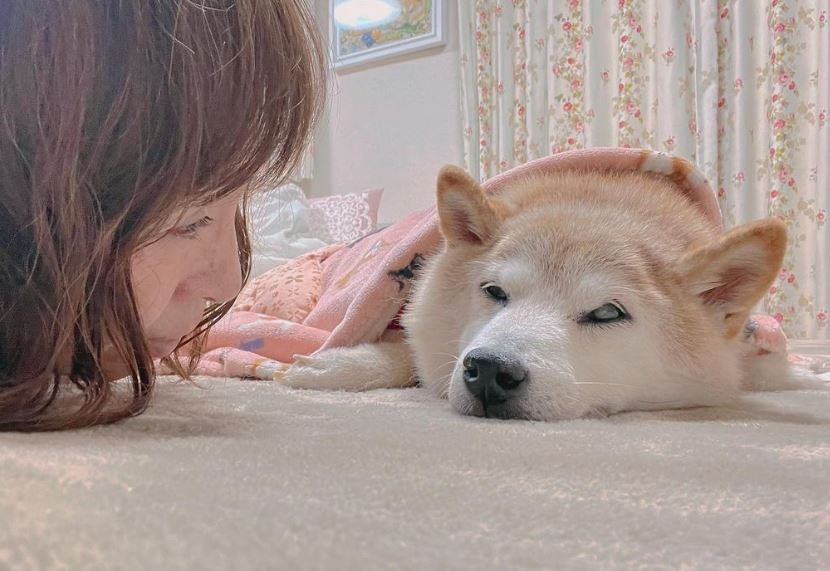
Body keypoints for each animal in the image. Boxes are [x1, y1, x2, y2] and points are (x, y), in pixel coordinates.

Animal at [277, 163, 819, 420]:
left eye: (607, 313)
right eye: (494, 291)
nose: (488, 370)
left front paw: (807, 374)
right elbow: (411, 352)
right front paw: (340, 364)